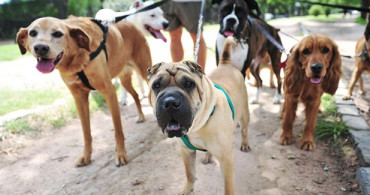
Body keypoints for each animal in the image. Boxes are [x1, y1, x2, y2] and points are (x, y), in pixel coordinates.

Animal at [15, 16, 152, 167]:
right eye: (32, 33)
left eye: (57, 34)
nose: (40, 47)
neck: (76, 60)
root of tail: (130, 24)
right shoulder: (79, 98)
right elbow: (86, 133)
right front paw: (86, 156)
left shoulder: (109, 92)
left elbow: (118, 130)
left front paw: (121, 154)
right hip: (124, 80)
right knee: (136, 95)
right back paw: (140, 116)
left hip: (145, 72)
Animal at [147, 37, 249, 195]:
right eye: (156, 85)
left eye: (189, 84)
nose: (170, 102)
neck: (198, 126)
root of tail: (226, 64)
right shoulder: (186, 152)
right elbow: (189, 173)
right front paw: (187, 190)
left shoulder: (227, 159)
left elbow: (228, 186)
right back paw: (207, 156)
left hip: (245, 113)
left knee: (244, 130)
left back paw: (245, 144)